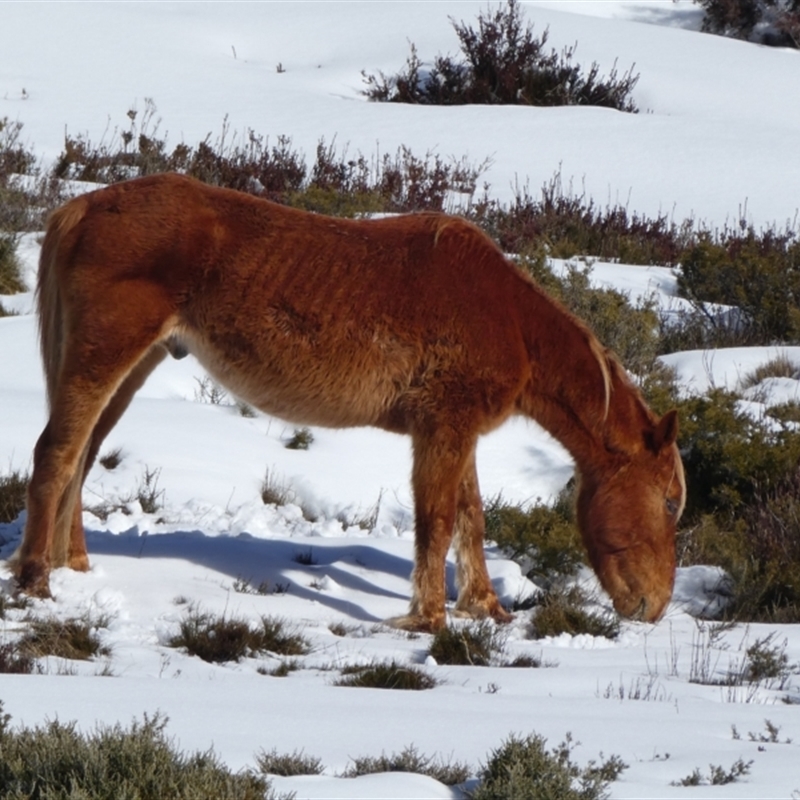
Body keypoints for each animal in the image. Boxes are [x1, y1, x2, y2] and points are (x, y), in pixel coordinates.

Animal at [9, 173, 684, 632]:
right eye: (671, 502)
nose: (654, 607)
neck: (508, 320)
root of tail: (84, 206)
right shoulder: (442, 429)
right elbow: (438, 521)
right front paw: (426, 620)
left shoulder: (455, 430)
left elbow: (471, 517)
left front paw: (485, 607)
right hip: (103, 357)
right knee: (57, 453)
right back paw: (35, 580)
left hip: (133, 364)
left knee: (84, 455)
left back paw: (74, 566)